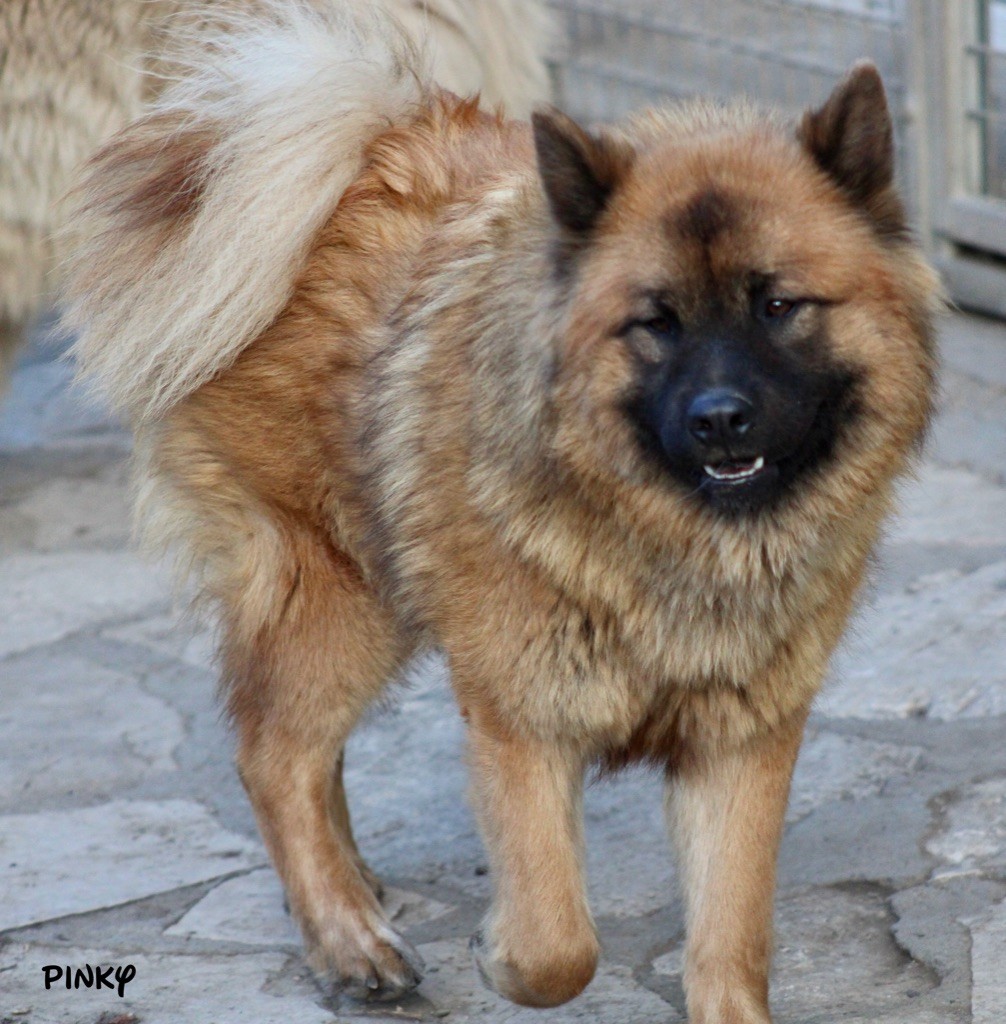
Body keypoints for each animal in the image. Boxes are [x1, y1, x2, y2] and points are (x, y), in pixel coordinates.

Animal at [65, 4, 946, 1019]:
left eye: (777, 305)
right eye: (656, 322)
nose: (719, 418)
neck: (665, 538)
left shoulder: (741, 744)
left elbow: (728, 939)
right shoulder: (522, 720)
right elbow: (557, 944)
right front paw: (497, 956)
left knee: (306, 755)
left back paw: (352, 892)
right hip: (343, 598)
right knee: (273, 757)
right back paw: (349, 939)